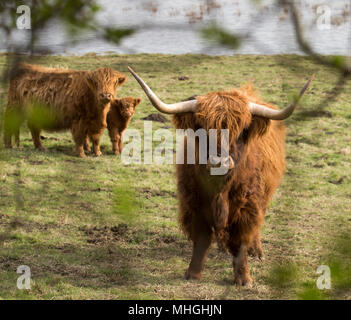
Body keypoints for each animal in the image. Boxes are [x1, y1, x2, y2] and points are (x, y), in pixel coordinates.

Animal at [127, 66, 314, 286]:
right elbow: (201, 239)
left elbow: (241, 241)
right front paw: (193, 273)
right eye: (202, 129)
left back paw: (257, 252)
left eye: (241, 131)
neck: (220, 191)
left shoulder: (247, 206)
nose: (219, 162)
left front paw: (244, 279)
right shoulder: (194, 203)